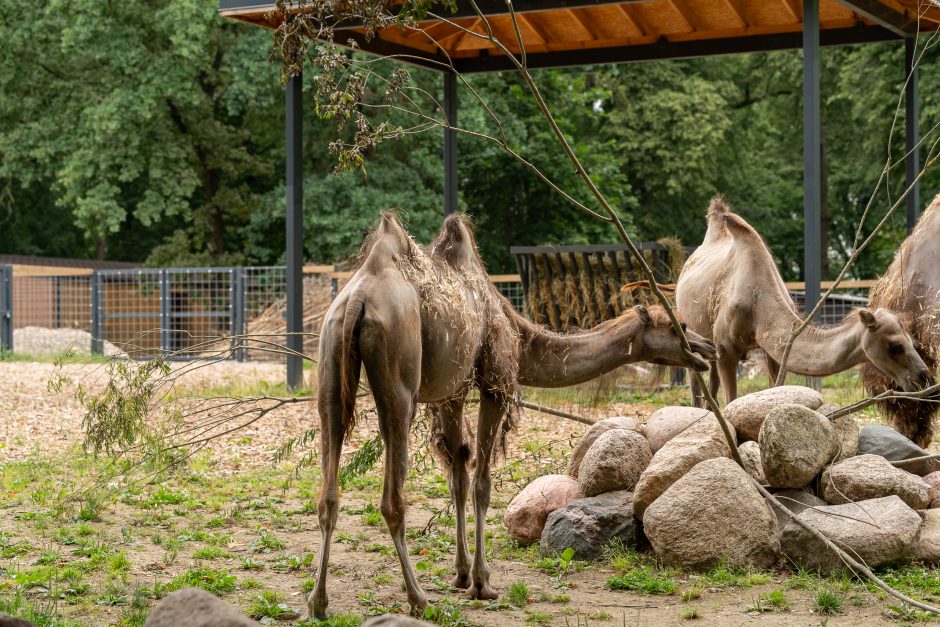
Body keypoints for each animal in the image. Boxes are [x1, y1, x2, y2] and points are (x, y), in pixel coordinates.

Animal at [312, 212, 716, 620]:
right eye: (677, 326)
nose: (708, 347)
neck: (521, 338)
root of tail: (357, 300)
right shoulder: (496, 384)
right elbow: (482, 482)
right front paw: (482, 583)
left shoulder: (451, 391)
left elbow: (458, 474)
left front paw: (461, 574)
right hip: (399, 380)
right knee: (392, 497)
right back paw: (418, 599)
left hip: (329, 366)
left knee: (328, 491)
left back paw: (319, 602)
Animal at [672, 196, 928, 408]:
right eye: (895, 346)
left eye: (914, 342)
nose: (923, 376)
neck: (758, 303)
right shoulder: (725, 347)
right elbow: (731, 401)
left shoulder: (772, 348)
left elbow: (774, 389)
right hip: (694, 334)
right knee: (696, 386)